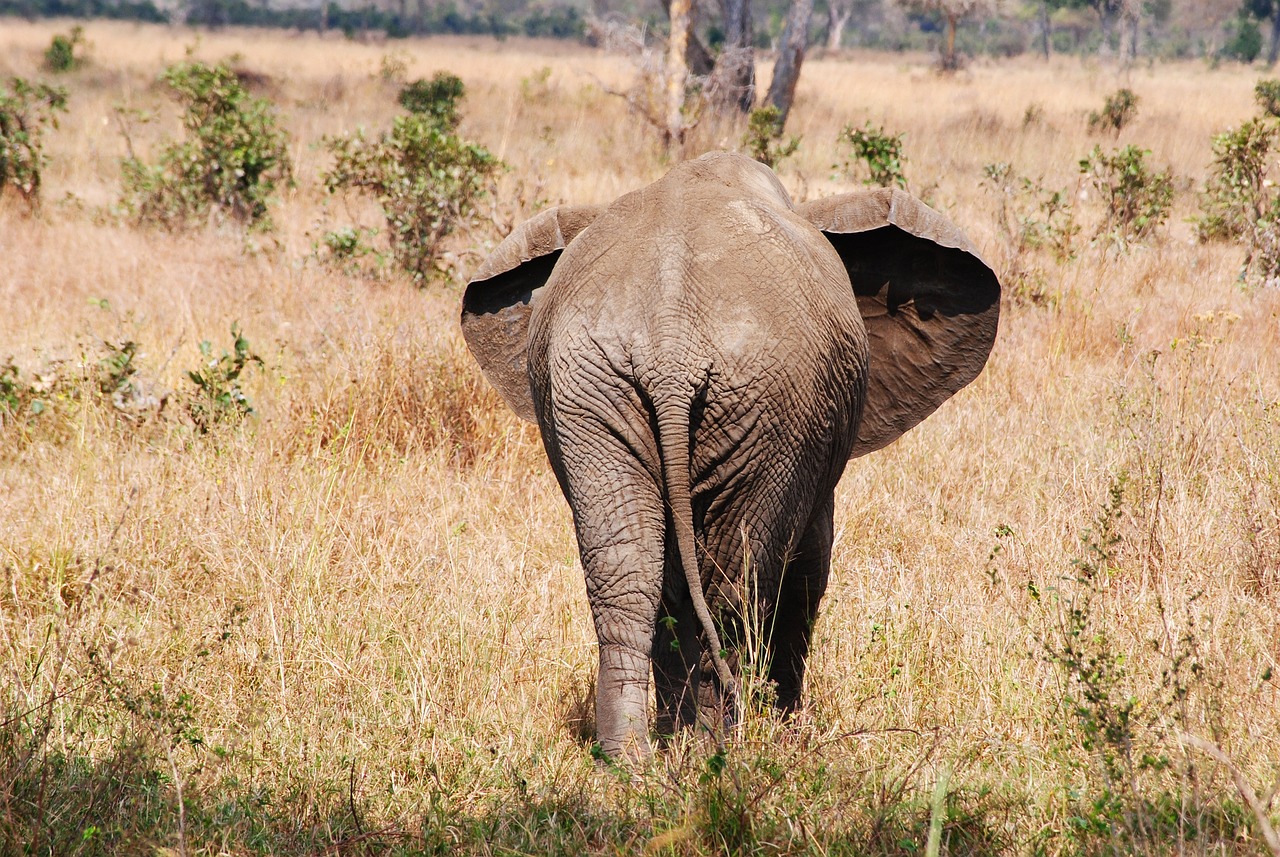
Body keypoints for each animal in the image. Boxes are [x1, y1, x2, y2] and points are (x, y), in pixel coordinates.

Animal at [460, 150, 998, 762]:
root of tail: (670, 345)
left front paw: (679, 737)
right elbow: (809, 569)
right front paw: (783, 729)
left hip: (593, 390)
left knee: (629, 569)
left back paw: (631, 761)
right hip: (769, 404)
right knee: (735, 579)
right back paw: (720, 747)